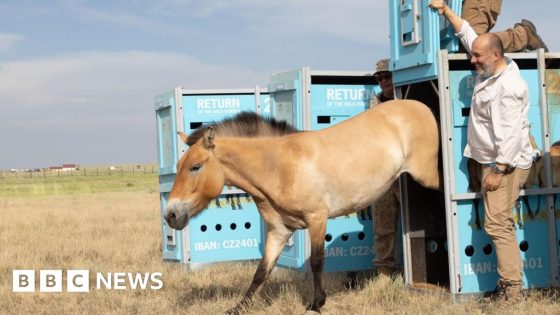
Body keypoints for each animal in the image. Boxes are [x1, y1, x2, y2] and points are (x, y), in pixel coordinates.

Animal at [164, 100, 440, 314]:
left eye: (195, 166)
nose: (171, 215)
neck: (280, 166)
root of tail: (419, 107)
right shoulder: (279, 231)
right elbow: (261, 271)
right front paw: (238, 308)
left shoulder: (317, 218)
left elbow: (317, 261)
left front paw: (316, 304)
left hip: (428, 177)